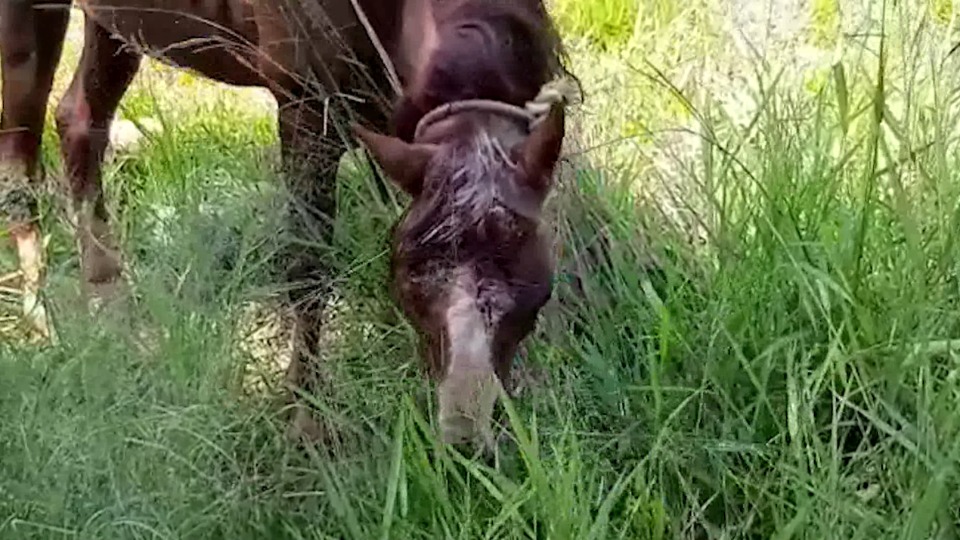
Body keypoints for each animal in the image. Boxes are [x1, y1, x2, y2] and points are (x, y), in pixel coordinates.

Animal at [0, 0, 568, 452]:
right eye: (409, 281)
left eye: (538, 291)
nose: (465, 440)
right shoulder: (305, 104)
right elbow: (307, 265)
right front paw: (306, 423)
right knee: (21, 159)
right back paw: (40, 325)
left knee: (79, 119)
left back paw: (113, 309)